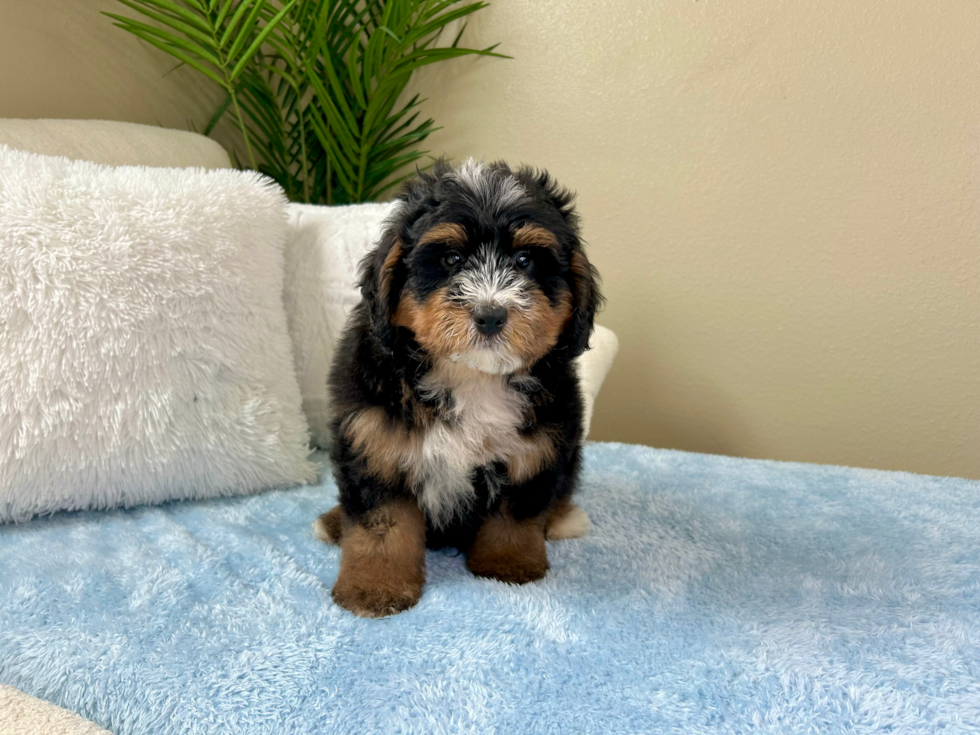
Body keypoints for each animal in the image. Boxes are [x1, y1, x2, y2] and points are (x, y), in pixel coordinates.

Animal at [318, 158, 600, 620]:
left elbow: (517, 514)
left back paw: (564, 518)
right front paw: (373, 587)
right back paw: (332, 521)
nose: (490, 315)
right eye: (450, 259)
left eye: (524, 260)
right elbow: (380, 524)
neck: (470, 376)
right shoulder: (373, 442)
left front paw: (509, 564)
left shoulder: (537, 446)